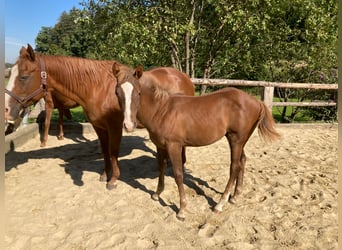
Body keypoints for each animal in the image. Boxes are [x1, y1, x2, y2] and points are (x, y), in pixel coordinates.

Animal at [116, 65, 280, 220]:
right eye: (118, 93)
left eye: (138, 93)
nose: (128, 125)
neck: (161, 111)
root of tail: (256, 101)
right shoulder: (160, 146)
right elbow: (161, 168)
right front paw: (157, 194)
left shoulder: (174, 146)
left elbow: (178, 174)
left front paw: (182, 210)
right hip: (238, 140)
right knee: (243, 161)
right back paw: (235, 196)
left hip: (236, 139)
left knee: (235, 166)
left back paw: (220, 204)